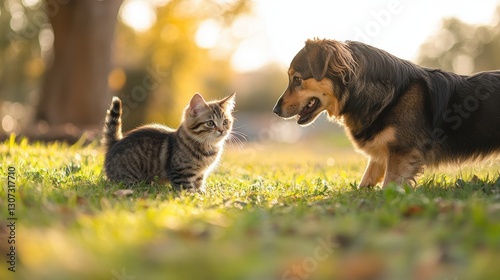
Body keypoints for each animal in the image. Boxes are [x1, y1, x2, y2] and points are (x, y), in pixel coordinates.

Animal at [101, 92, 236, 192]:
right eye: (210, 123)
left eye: (225, 122)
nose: (221, 130)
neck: (207, 147)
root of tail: (115, 142)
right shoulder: (180, 174)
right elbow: (187, 190)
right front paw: (194, 196)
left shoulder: (200, 174)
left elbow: (199, 184)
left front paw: (201, 192)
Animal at [274, 38, 500, 188]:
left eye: (297, 79)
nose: (275, 110)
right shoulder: (383, 154)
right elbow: (365, 182)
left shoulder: (402, 153)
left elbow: (388, 187)